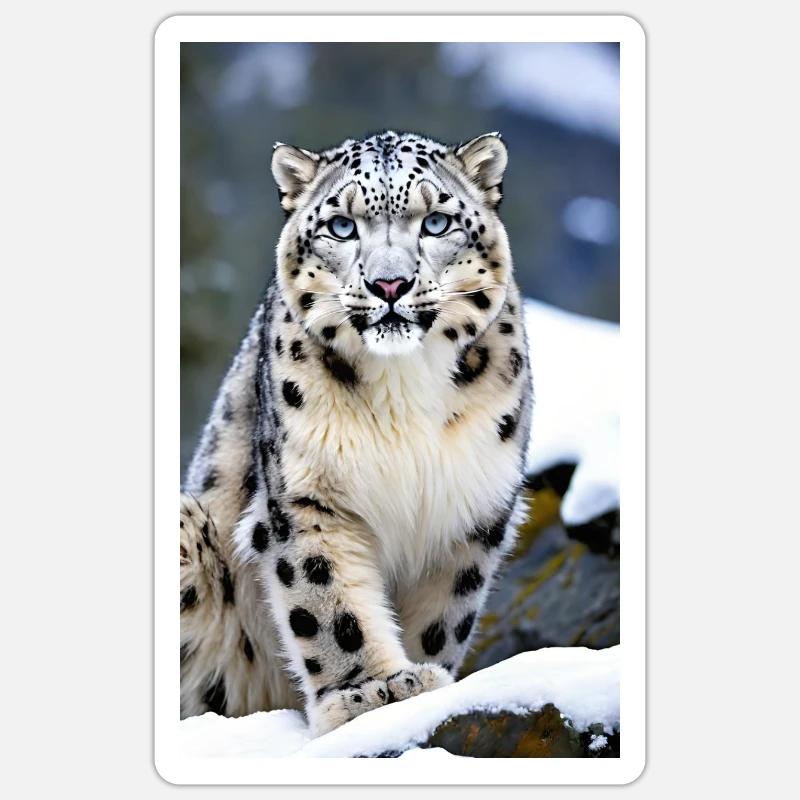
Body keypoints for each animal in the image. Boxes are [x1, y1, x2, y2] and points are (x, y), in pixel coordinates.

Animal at [179, 130, 533, 737]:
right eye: (342, 226)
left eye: (436, 221)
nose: (390, 283)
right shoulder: (306, 495)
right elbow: (327, 599)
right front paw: (371, 692)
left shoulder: (469, 504)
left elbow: (443, 614)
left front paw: (419, 680)